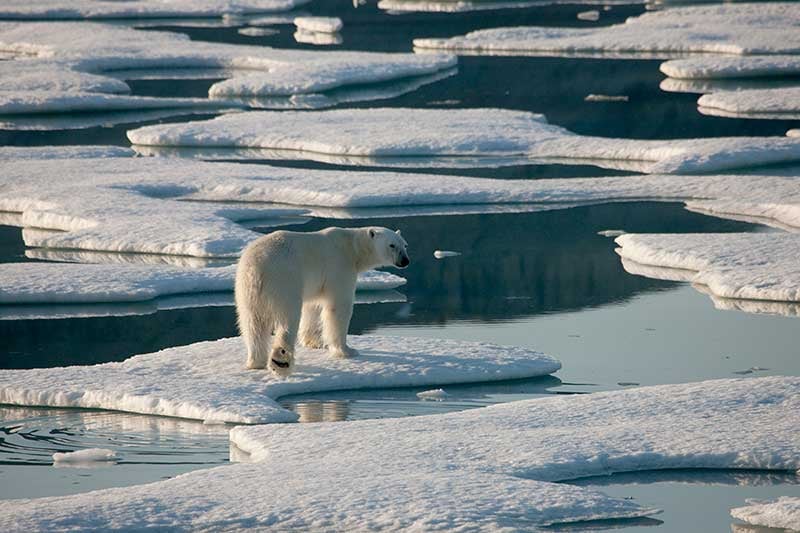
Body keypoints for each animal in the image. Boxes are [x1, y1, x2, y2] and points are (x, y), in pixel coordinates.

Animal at [231, 227, 406, 376]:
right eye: (392, 245)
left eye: (404, 245)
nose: (405, 260)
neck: (352, 248)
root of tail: (257, 268)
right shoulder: (339, 267)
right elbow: (338, 307)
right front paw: (347, 350)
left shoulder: (317, 282)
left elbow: (313, 306)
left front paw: (315, 343)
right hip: (284, 280)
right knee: (288, 318)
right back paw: (281, 362)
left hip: (246, 289)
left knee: (252, 323)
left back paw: (256, 361)